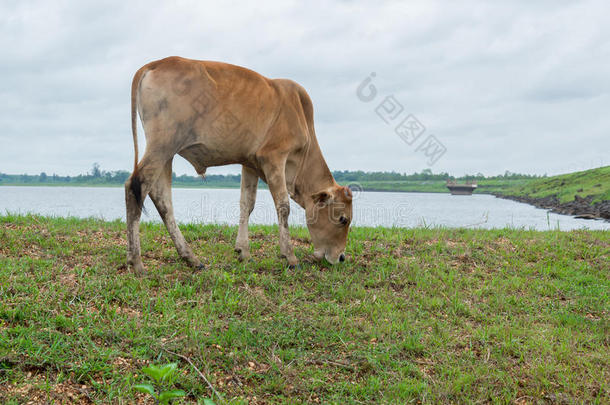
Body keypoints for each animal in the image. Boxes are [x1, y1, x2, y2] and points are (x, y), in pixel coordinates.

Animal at [124, 56, 352, 272]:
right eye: (343, 219)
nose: (341, 257)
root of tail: (157, 63)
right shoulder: (274, 158)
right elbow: (283, 206)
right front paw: (290, 257)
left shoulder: (250, 162)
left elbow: (246, 204)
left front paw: (243, 251)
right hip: (162, 145)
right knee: (136, 186)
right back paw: (137, 262)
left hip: (167, 153)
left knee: (162, 198)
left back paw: (190, 258)